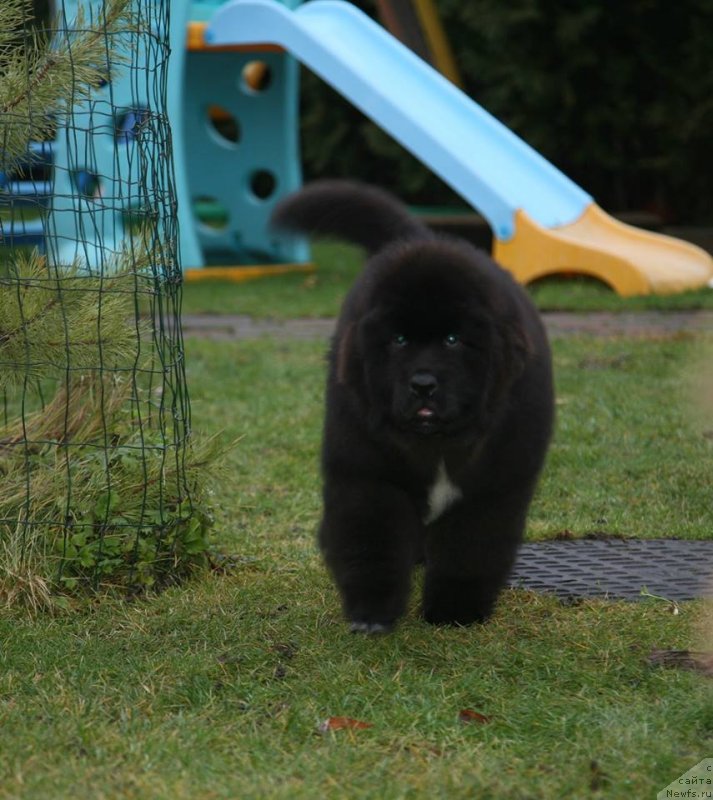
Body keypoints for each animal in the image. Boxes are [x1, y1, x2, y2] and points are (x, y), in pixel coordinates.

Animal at [270, 180, 552, 632]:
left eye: (453, 340)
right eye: (399, 340)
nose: (422, 384)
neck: (436, 444)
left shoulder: (493, 485)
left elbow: (471, 547)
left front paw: (455, 611)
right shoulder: (368, 471)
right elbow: (372, 541)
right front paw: (372, 613)